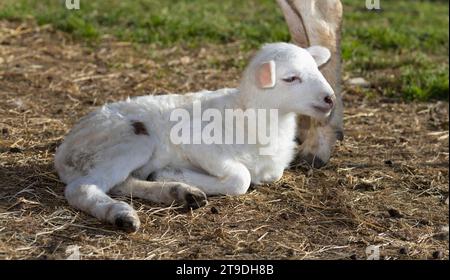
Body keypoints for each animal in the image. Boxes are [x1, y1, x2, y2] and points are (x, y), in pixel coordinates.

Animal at [53, 42, 334, 232]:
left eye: (316, 69)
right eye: (291, 78)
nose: (330, 98)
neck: (248, 116)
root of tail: (64, 151)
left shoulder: (272, 168)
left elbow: (268, 174)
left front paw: (170, 176)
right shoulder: (195, 140)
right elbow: (241, 178)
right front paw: (176, 173)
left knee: (121, 183)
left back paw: (178, 191)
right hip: (132, 139)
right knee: (81, 189)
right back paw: (123, 214)